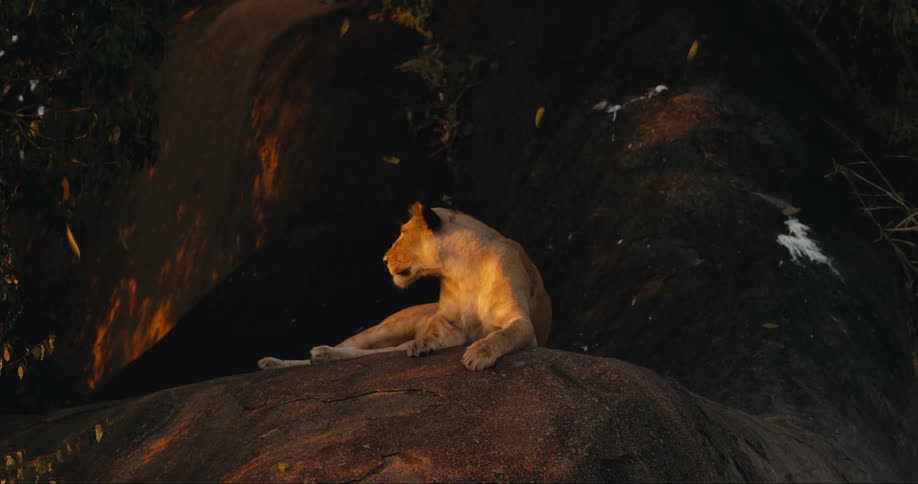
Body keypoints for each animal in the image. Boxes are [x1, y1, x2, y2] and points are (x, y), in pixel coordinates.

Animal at [257, 201, 552, 371]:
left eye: (403, 233)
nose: (384, 259)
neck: (462, 270)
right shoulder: (447, 323)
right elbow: (433, 331)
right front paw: (424, 344)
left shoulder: (521, 323)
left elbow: (501, 335)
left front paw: (479, 353)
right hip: (388, 327)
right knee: (356, 347)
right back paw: (287, 359)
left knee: (369, 353)